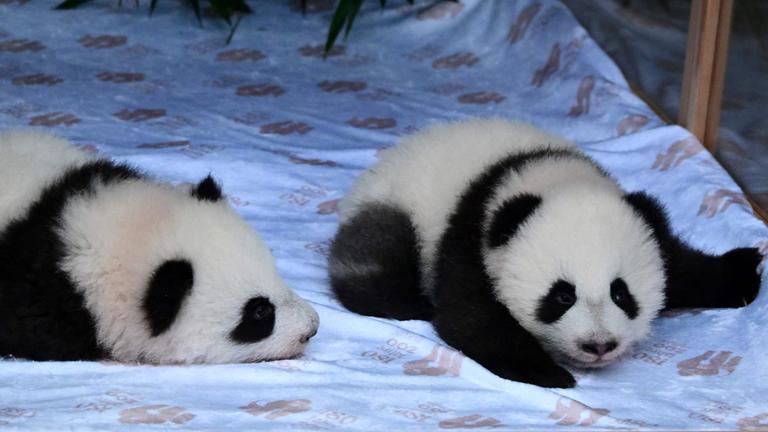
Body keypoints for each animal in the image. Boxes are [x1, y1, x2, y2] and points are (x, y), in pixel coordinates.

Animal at [329, 119, 763, 388]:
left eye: (621, 293)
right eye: (562, 295)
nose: (598, 345)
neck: (547, 176)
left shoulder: (643, 222)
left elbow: (679, 264)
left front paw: (744, 271)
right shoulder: (472, 238)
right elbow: (469, 318)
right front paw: (546, 372)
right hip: (398, 207)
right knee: (378, 256)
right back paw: (405, 300)